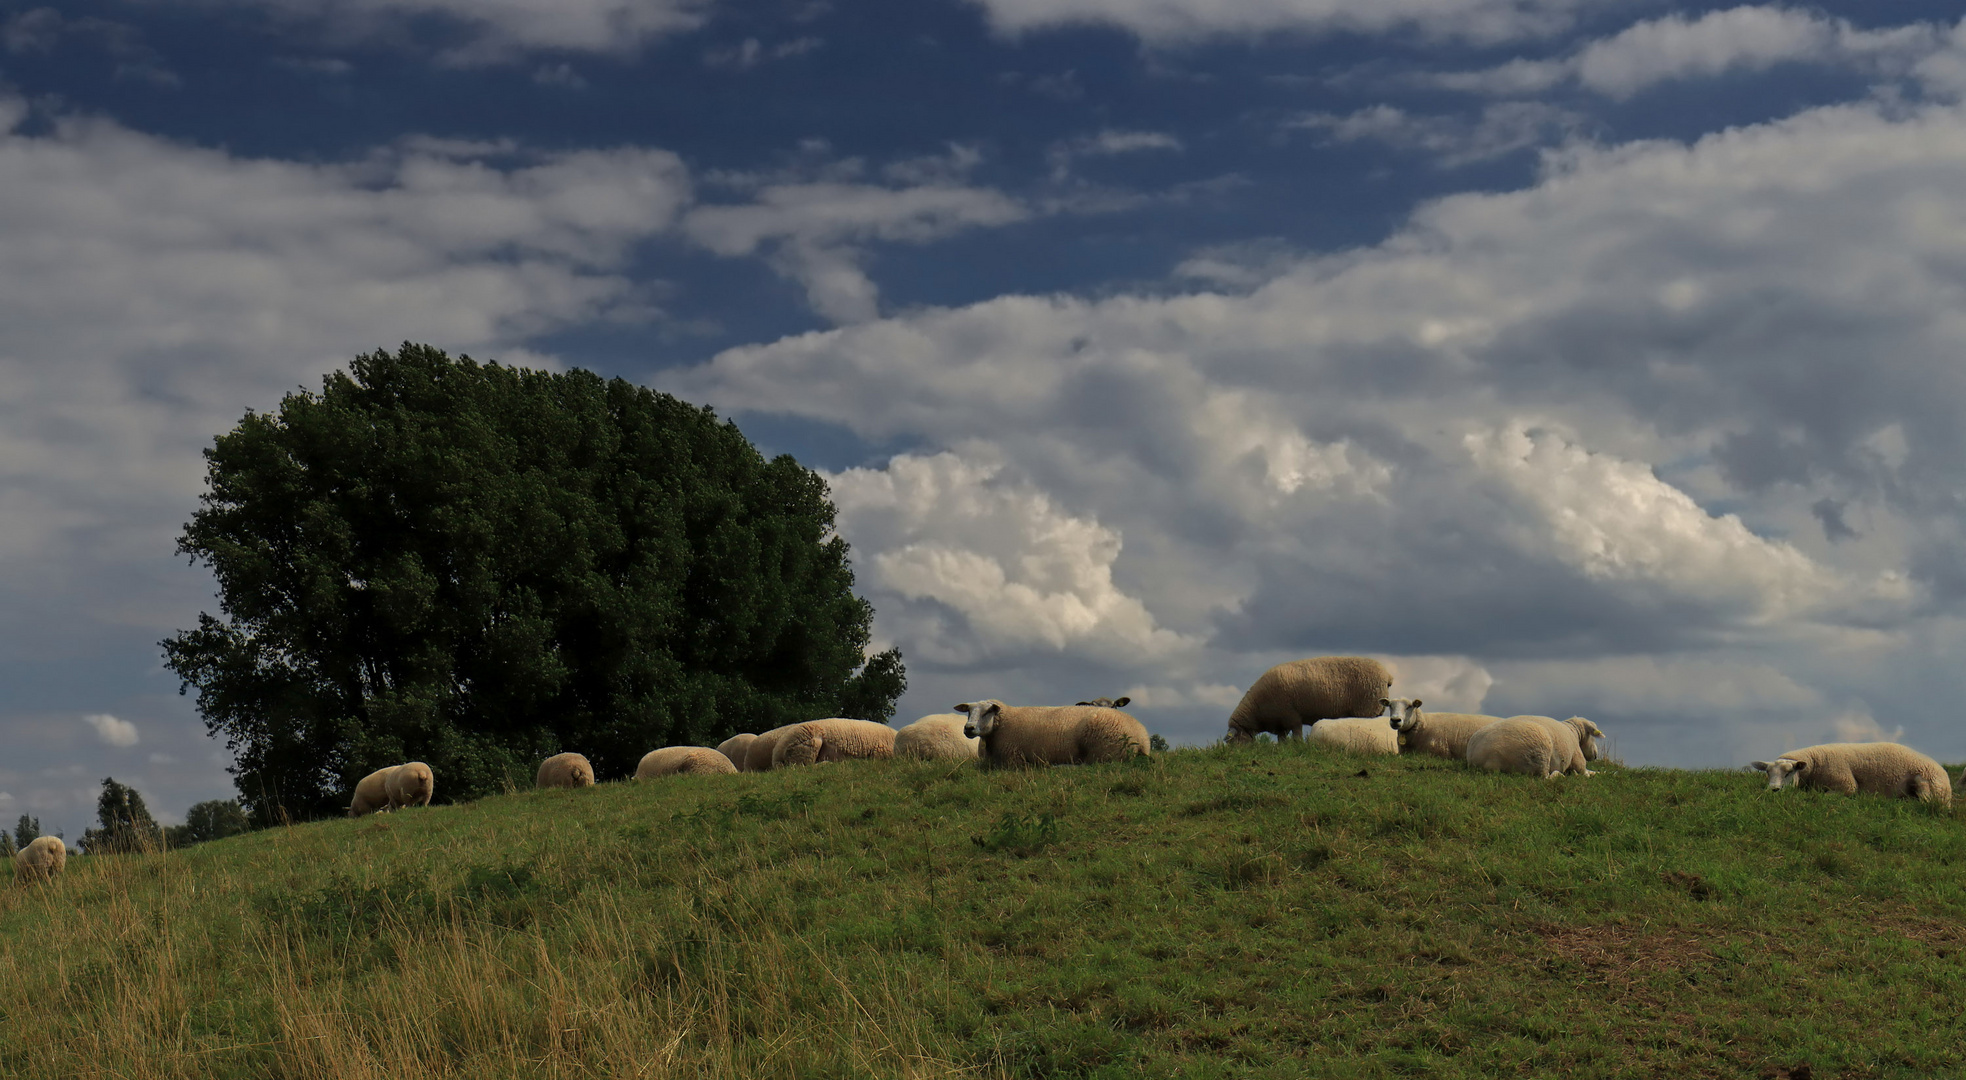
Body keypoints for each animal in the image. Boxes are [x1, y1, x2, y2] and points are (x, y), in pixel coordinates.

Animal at [951, 700, 1148, 767]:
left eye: (987, 712)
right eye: (968, 711)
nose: (968, 728)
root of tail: (1141, 736)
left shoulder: (1013, 760)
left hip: (1102, 754)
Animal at [1218, 657, 1391, 739]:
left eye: (1232, 741)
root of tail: (1387, 676)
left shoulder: (1292, 717)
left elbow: (1297, 738)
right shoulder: (1282, 723)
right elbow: (1282, 740)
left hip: (1367, 709)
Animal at [1753, 739, 1950, 810]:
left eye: (1789, 773)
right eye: (1767, 773)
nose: (1774, 790)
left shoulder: (1846, 784)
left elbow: (1828, 795)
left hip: (1926, 783)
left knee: (1926, 803)